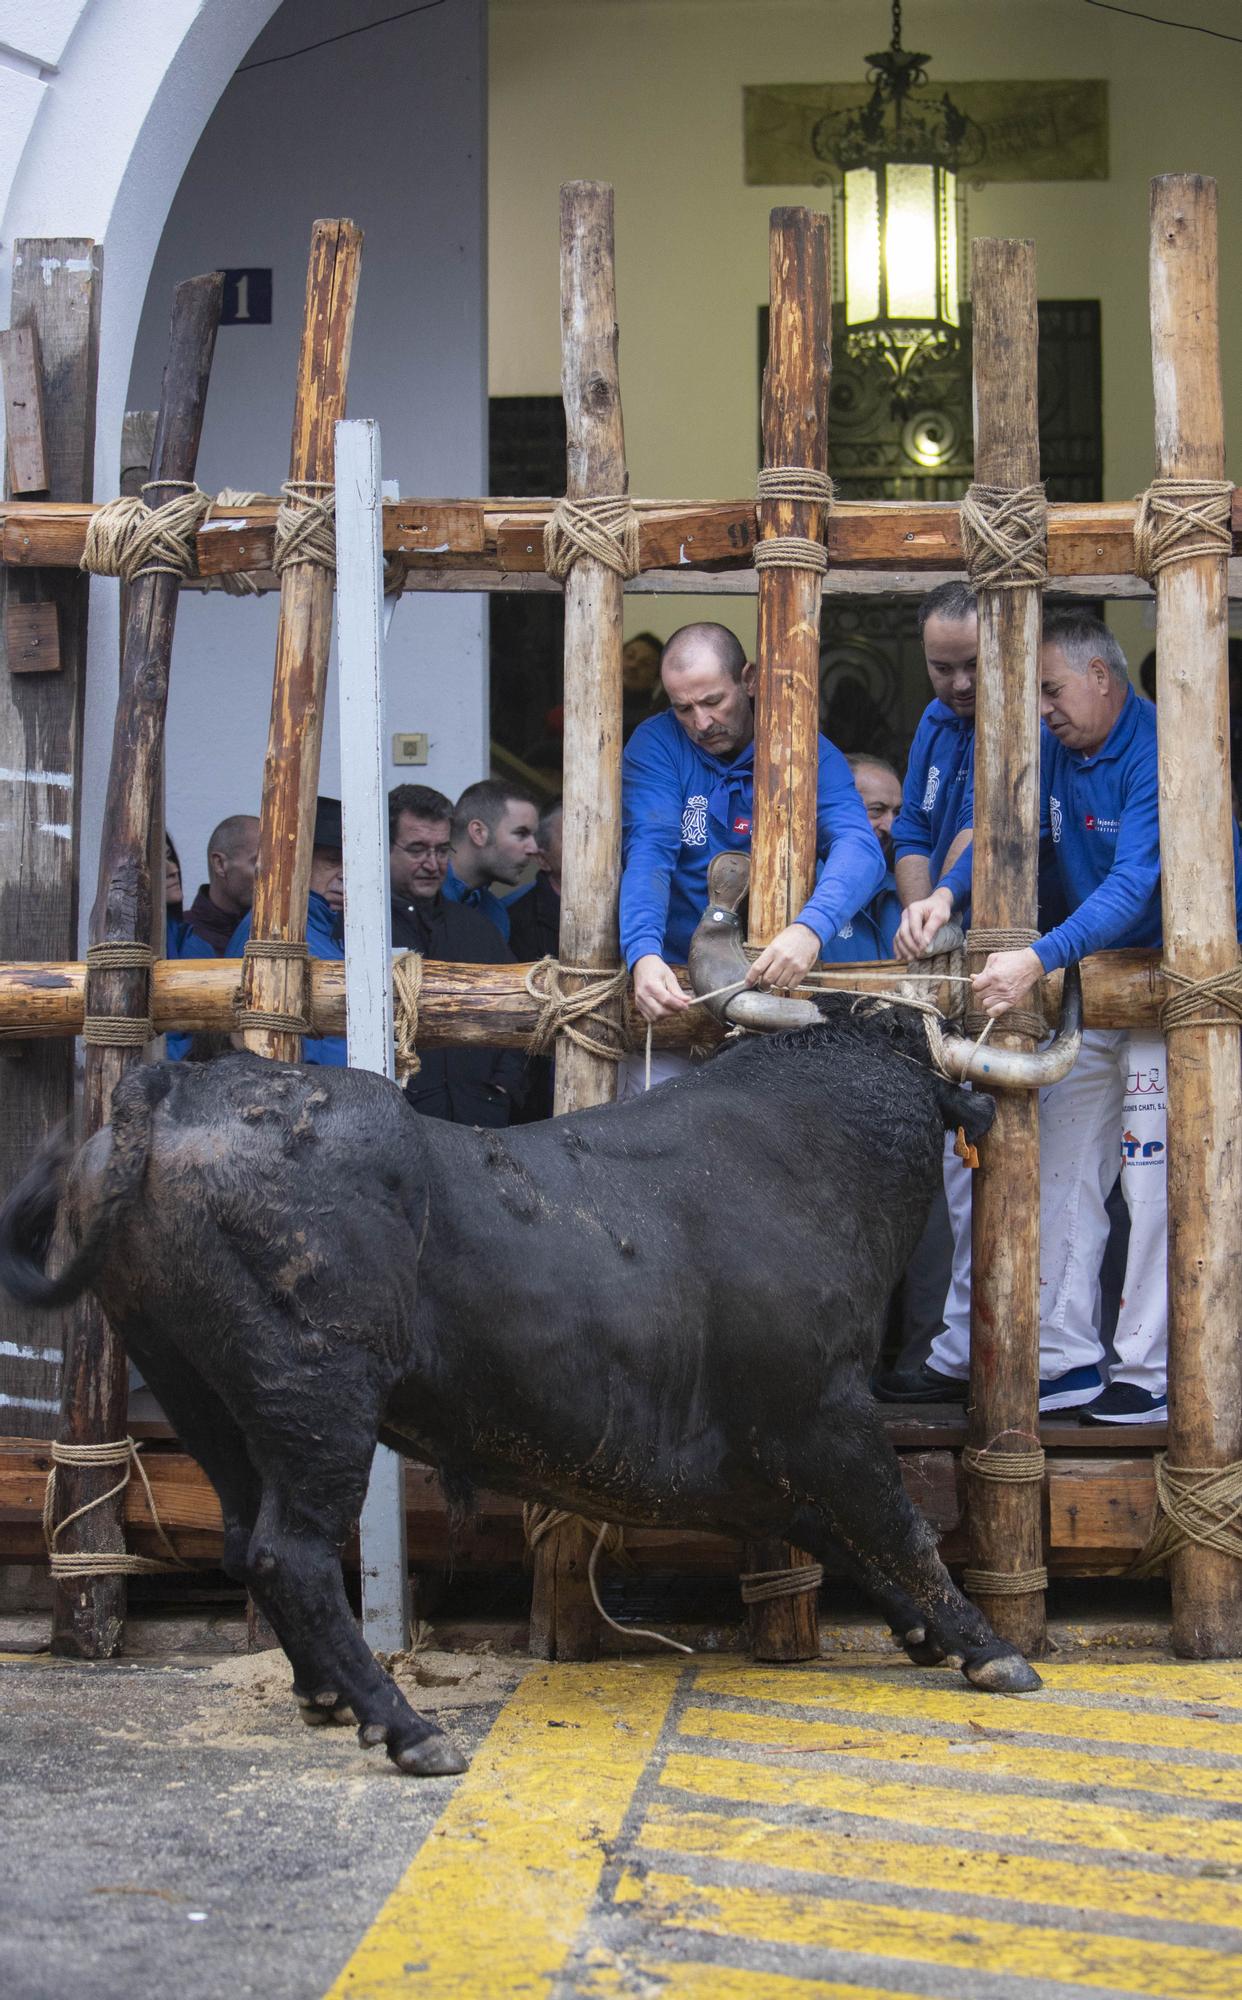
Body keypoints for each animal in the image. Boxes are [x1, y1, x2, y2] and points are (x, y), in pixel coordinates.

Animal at [2, 996, 1048, 1768]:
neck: (815, 1159)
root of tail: (177, 1085)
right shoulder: (822, 1413)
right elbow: (899, 1525)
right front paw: (990, 1649)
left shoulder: (770, 1456)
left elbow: (851, 1534)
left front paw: (931, 1635)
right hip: (319, 1399)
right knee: (288, 1554)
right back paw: (405, 1728)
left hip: (202, 1395)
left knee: (240, 1539)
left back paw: (328, 1696)